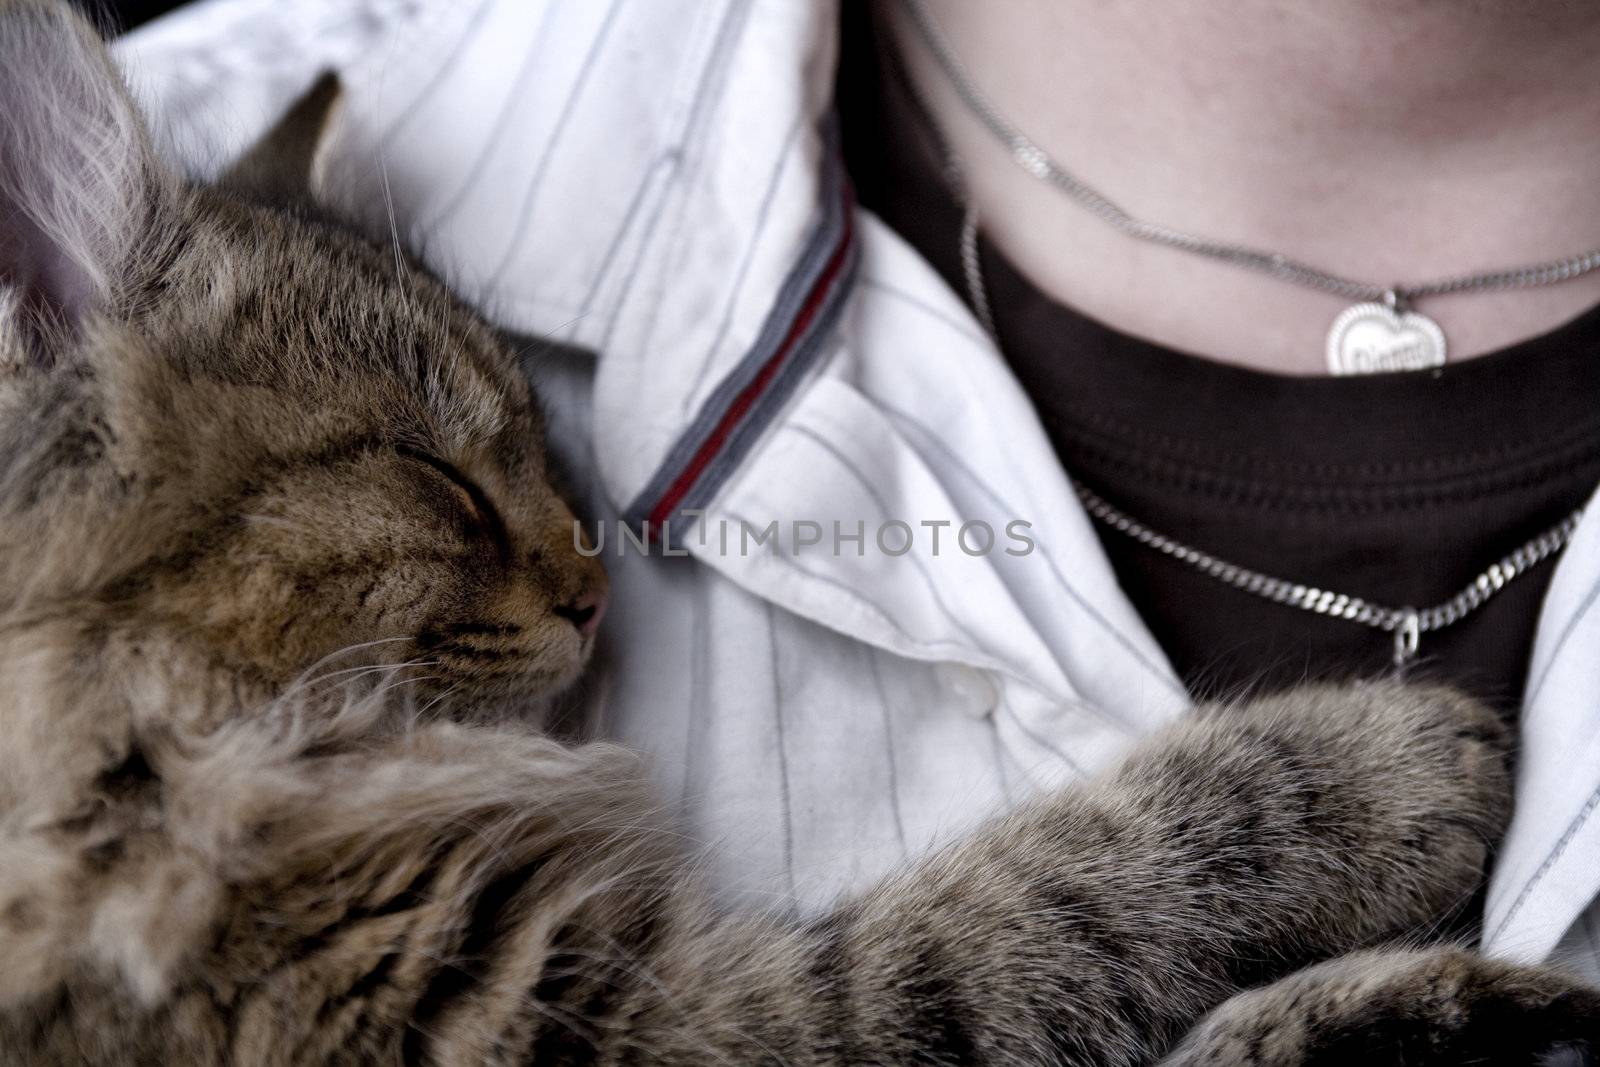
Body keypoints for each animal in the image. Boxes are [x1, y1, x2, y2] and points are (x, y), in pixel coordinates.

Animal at [3, 4, 1600, 1062]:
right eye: (439, 478)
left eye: (543, 455)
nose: (596, 591)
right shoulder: (623, 1018)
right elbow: (1051, 898)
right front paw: (1375, 771)